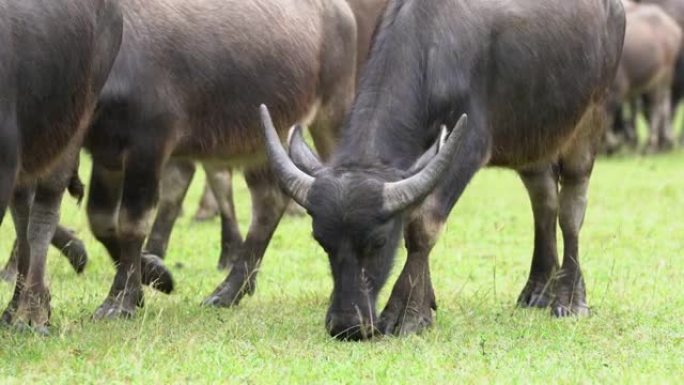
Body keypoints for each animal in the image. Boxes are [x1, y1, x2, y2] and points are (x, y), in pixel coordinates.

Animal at [83, 0, 356, 318]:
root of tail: (340, 11)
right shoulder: (106, 154)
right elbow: (101, 221)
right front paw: (155, 275)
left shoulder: (149, 146)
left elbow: (131, 223)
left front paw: (122, 301)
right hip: (262, 140)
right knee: (268, 203)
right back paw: (228, 291)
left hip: (331, 113)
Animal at [260, 0, 624, 338]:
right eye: (321, 241)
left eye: (378, 242)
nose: (347, 325)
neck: (432, 54)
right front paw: (426, 304)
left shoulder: (468, 148)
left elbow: (424, 225)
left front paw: (405, 313)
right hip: (532, 139)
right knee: (544, 201)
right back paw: (538, 290)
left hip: (590, 117)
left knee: (571, 208)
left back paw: (569, 299)